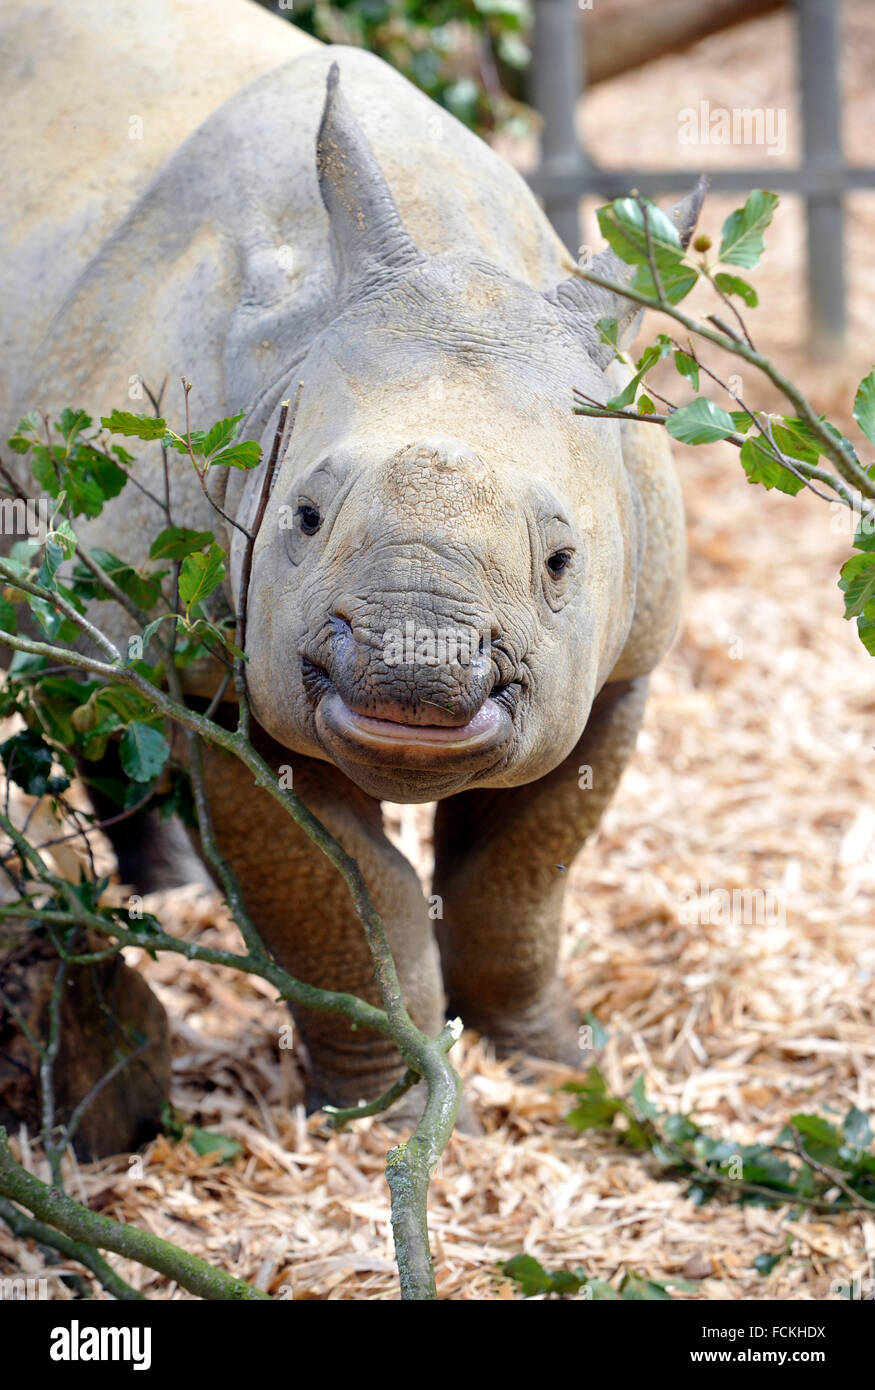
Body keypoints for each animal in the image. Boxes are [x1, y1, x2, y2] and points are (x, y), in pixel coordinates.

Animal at [1, 0, 701, 1111]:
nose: (413, 667)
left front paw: (550, 1061)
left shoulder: (627, 660)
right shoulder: (204, 675)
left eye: (559, 563)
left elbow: (512, 882)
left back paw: (171, 892)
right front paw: (386, 1104)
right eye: (303, 516)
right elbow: (340, 893)